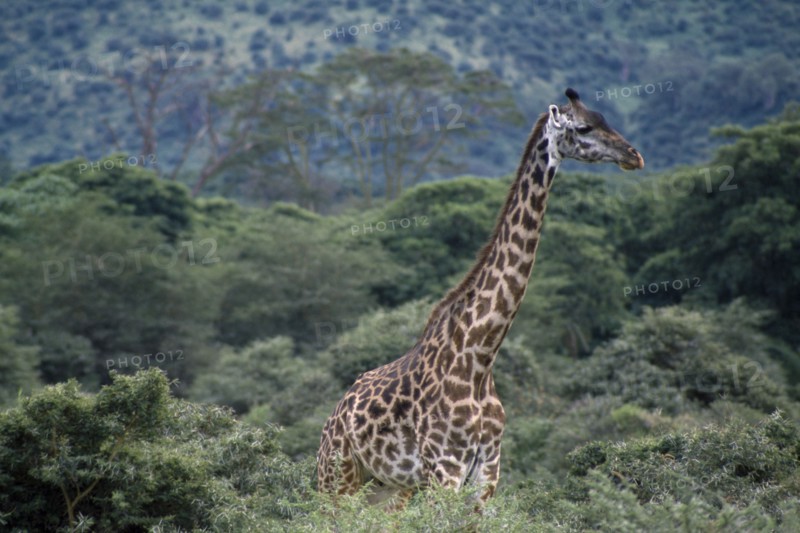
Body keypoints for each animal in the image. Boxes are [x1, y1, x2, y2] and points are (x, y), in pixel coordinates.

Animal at [317, 88, 644, 507]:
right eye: (585, 127)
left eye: (606, 118)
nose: (634, 155)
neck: (479, 358)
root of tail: (334, 416)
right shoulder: (444, 471)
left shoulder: (486, 476)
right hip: (337, 479)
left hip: (387, 487)